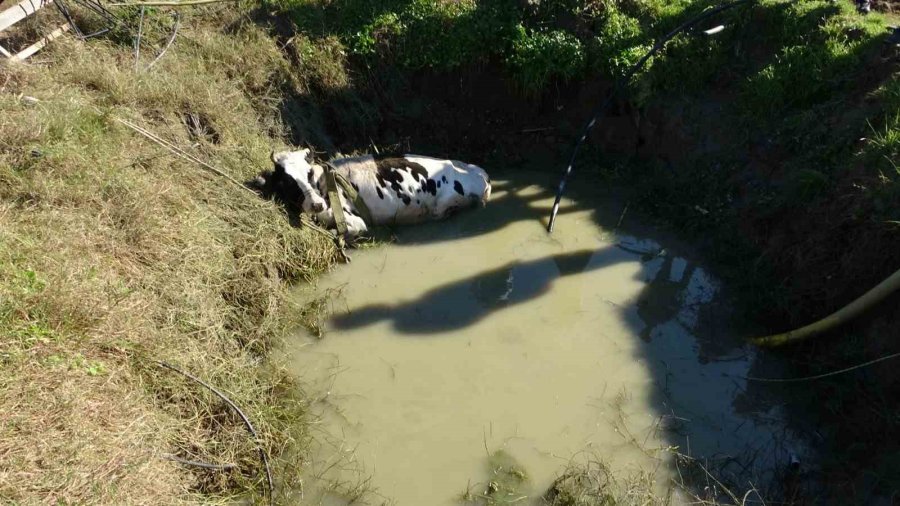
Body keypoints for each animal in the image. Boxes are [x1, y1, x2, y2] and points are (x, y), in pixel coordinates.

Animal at [253, 147, 492, 236]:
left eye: (309, 173)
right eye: (288, 181)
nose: (317, 204)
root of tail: (480, 172)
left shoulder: (355, 223)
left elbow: (338, 232)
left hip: (444, 207)